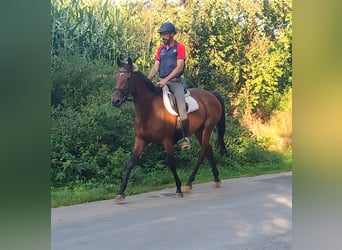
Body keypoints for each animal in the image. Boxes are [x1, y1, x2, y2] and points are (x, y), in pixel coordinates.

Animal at [111, 57, 226, 201]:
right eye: (116, 78)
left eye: (127, 78)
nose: (115, 101)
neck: (150, 110)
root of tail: (211, 94)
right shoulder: (141, 140)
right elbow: (130, 163)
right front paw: (120, 192)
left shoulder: (167, 141)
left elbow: (171, 163)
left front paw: (178, 189)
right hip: (199, 131)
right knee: (208, 150)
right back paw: (215, 179)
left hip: (207, 128)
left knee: (203, 152)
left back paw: (189, 183)